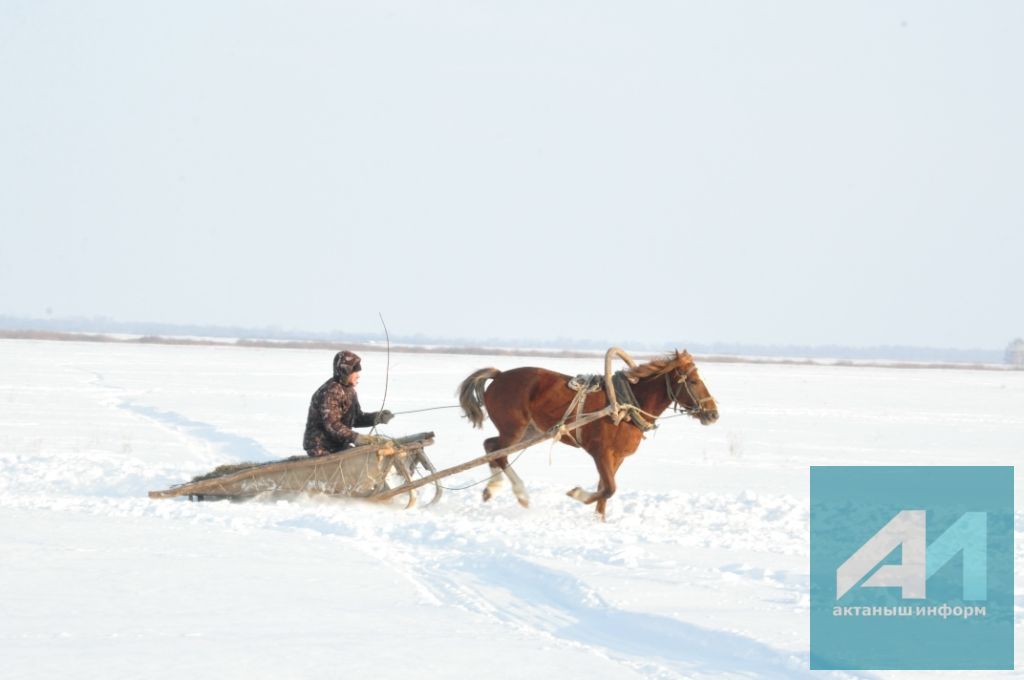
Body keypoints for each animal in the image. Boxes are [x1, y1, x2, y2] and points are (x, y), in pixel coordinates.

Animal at [456, 348, 720, 518]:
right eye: (693, 381)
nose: (713, 414)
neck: (625, 405)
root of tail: (499, 375)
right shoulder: (600, 453)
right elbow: (609, 489)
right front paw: (577, 494)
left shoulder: (617, 458)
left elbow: (605, 490)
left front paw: (598, 521)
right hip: (514, 429)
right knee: (497, 452)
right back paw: (520, 494)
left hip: (528, 431)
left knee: (491, 447)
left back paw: (492, 489)